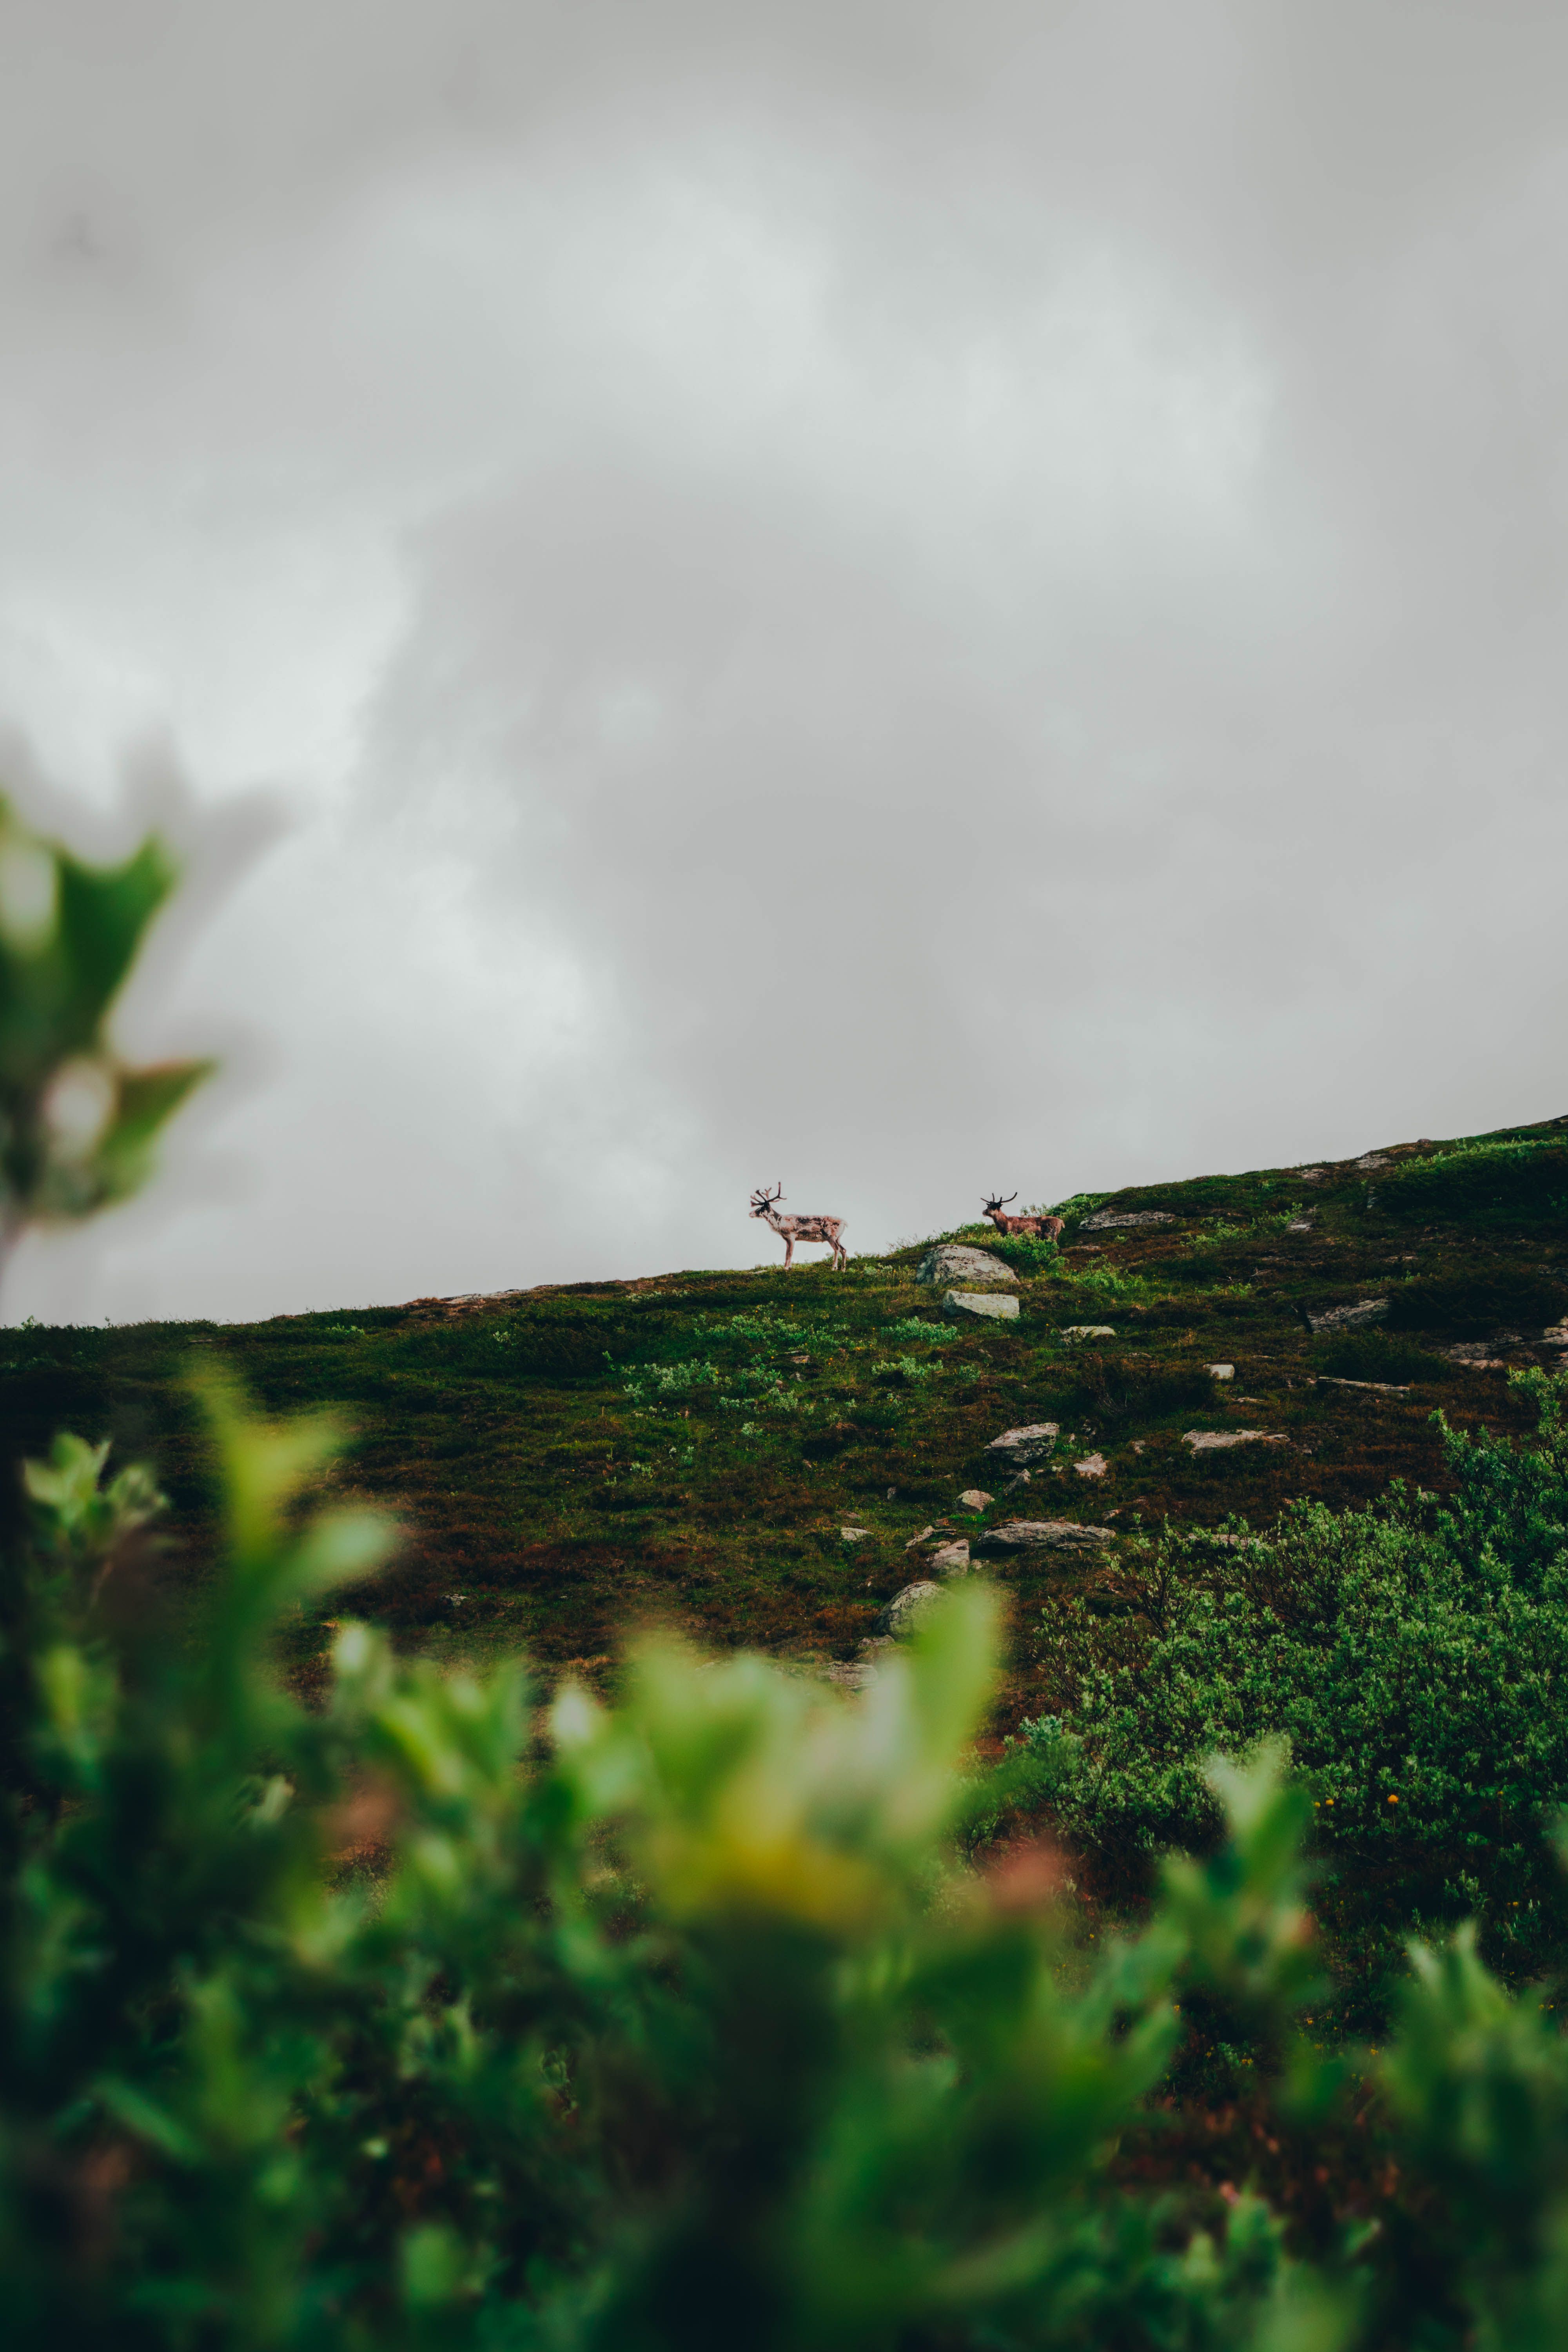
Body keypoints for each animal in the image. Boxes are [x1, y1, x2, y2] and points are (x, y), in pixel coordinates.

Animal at [750, 1183, 848, 1269]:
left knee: (837, 1249)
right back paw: (843, 1270)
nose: (750, 1213)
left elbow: (790, 1253)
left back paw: (834, 1268)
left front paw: (788, 1268)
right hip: (838, 1238)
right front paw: (785, 1267)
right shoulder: (786, 1239)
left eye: (762, 1208)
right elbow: (786, 1254)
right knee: (844, 1250)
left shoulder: (792, 1236)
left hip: (831, 1236)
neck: (780, 1223)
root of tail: (845, 1223)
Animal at [982, 1192, 1064, 1243]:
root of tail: (1062, 1222)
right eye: (988, 1206)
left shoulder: (1015, 1236)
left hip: (1051, 1236)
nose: (984, 1212)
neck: (1005, 1225)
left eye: (994, 1207)